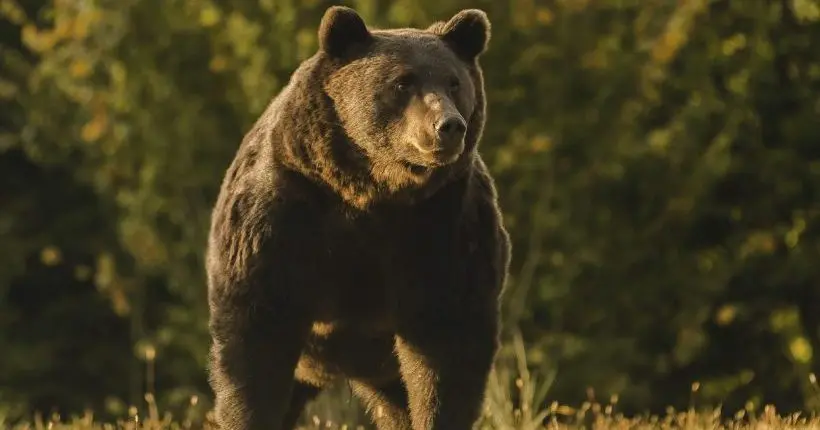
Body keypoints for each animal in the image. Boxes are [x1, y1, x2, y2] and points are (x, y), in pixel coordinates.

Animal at [204, 5, 510, 430]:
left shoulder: (444, 225)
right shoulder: (281, 218)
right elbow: (255, 341)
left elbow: (447, 345)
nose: (449, 125)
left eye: (454, 83)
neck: (373, 190)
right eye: (402, 82)